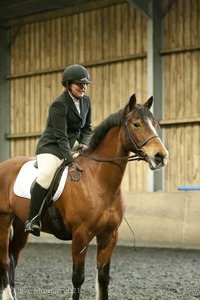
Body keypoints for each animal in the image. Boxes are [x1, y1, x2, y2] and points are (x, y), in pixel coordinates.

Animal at [0, 94, 168, 300]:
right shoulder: (81, 235)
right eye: (136, 124)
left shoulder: (109, 235)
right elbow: (78, 278)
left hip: (21, 224)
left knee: (13, 257)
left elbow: (103, 278)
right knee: (5, 261)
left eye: (155, 124)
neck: (98, 180)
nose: (161, 156)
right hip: (4, 221)